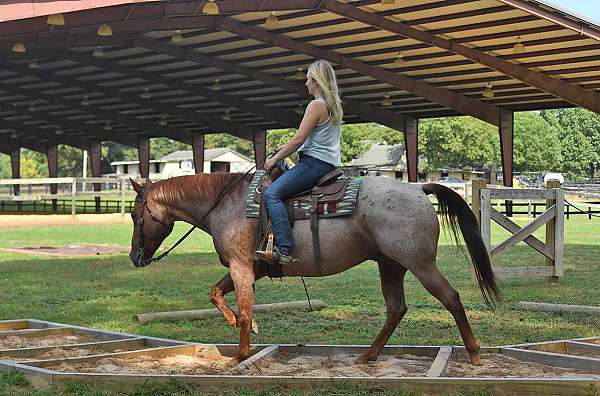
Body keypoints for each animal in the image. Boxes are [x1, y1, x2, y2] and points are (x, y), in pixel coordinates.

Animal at [129, 175, 500, 366]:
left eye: (135, 216)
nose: (135, 257)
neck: (229, 204)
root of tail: (418, 188)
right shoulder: (252, 268)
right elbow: (217, 293)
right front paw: (236, 323)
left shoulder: (241, 266)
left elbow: (245, 309)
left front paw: (241, 356)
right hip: (390, 266)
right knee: (396, 309)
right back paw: (368, 356)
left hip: (420, 264)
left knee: (450, 298)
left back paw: (474, 352)